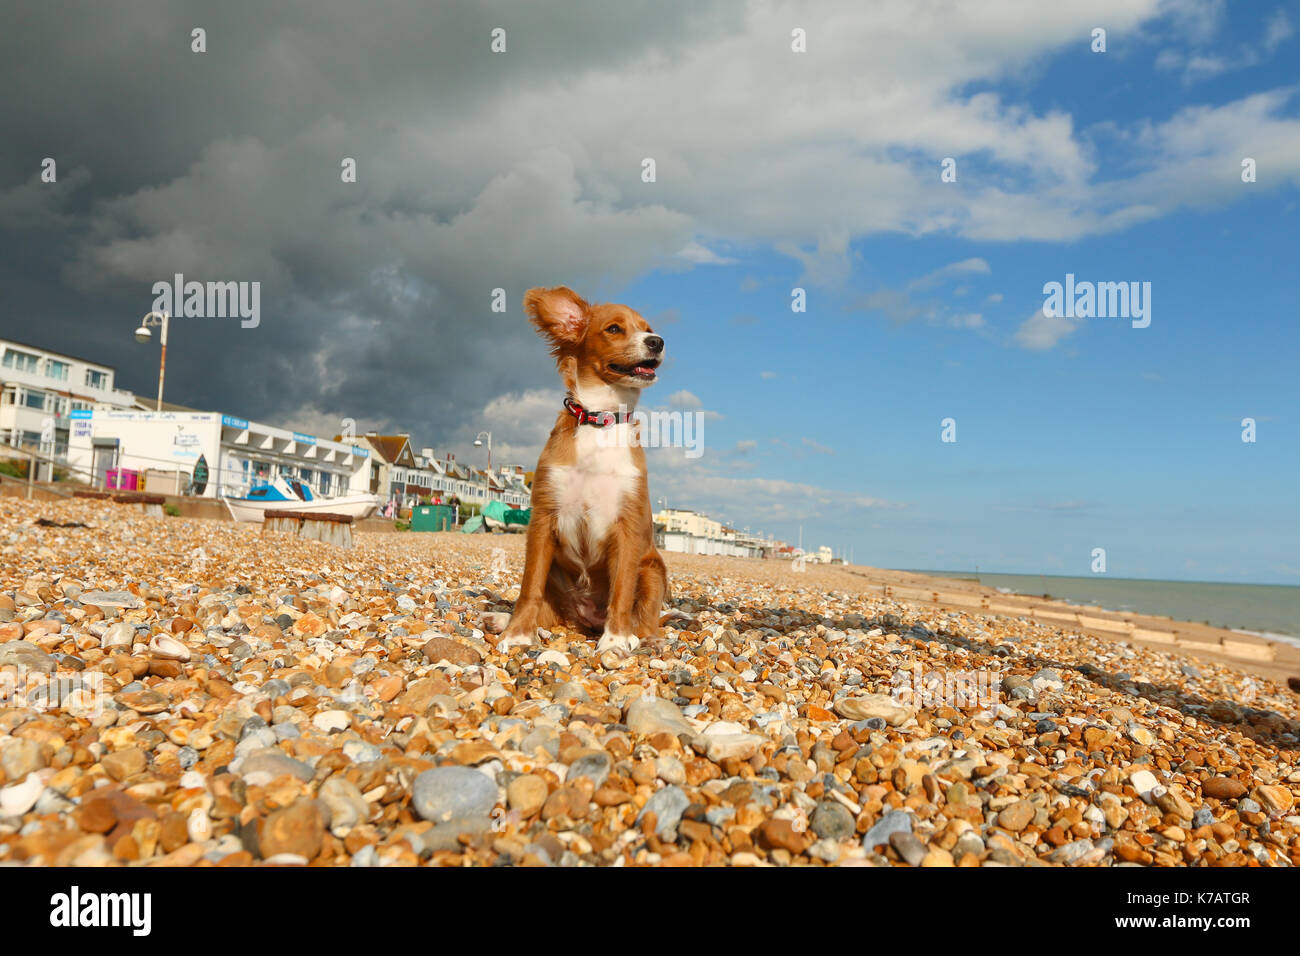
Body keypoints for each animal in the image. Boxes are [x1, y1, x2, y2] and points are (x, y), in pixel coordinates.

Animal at [496, 286, 670, 665]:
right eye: (614, 329)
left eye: (647, 328)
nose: (658, 342)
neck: (600, 420)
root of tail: (587, 620)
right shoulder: (543, 518)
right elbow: (529, 588)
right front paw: (517, 634)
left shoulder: (628, 525)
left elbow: (621, 592)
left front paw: (616, 640)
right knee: (549, 614)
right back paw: (503, 619)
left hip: (653, 570)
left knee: (647, 622)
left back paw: (641, 638)